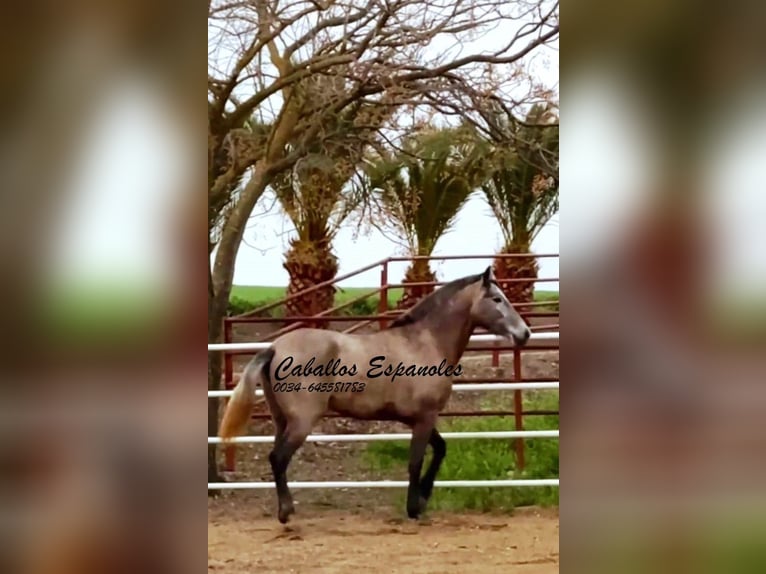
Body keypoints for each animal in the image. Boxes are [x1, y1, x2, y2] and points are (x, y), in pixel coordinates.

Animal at [218, 266, 531, 523]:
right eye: (497, 299)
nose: (524, 333)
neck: (424, 342)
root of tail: (275, 348)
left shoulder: (418, 418)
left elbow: (440, 449)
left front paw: (423, 499)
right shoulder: (425, 417)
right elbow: (416, 461)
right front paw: (414, 508)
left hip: (281, 420)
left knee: (277, 458)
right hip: (302, 422)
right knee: (278, 458)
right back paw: (286, 512)